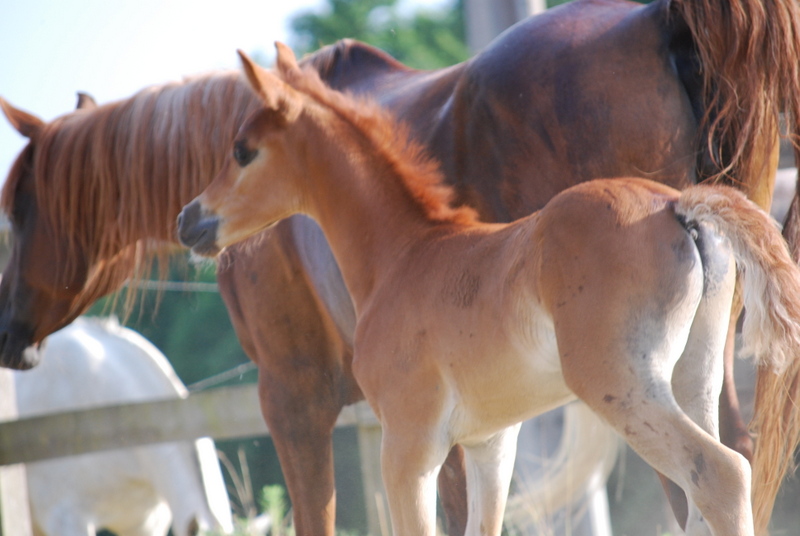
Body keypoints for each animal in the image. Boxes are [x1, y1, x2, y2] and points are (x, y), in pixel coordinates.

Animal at [178, 46, 800, 536]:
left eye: (241, 149)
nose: (189, 220)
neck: (402, 256)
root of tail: (676, 205)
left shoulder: (409, 447)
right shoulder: (490, 445)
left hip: (624, 386)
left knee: (720, 475)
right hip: (693, 376)